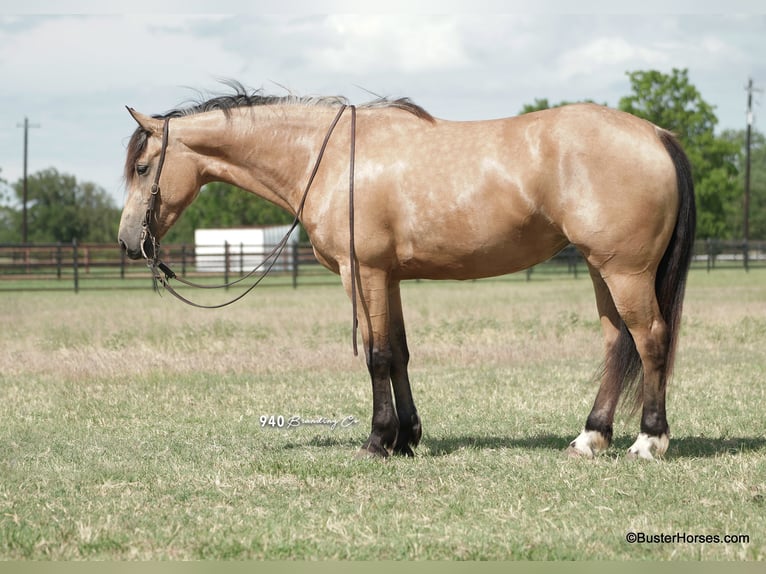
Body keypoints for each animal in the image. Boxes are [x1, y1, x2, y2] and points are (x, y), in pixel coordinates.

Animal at [118, 84, 696, 464]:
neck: (331, 159)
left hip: (624, 271)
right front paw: (407, 438)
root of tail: (656, 134)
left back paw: (649, 441)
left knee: (650, 339)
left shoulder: (362, 273)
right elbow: (398, 352)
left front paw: (378, 441)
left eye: (142, 168)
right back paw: (590, 438)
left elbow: (376, 356)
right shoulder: (388, 278)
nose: (129, 242)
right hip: (603, 272)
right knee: (617, 343)